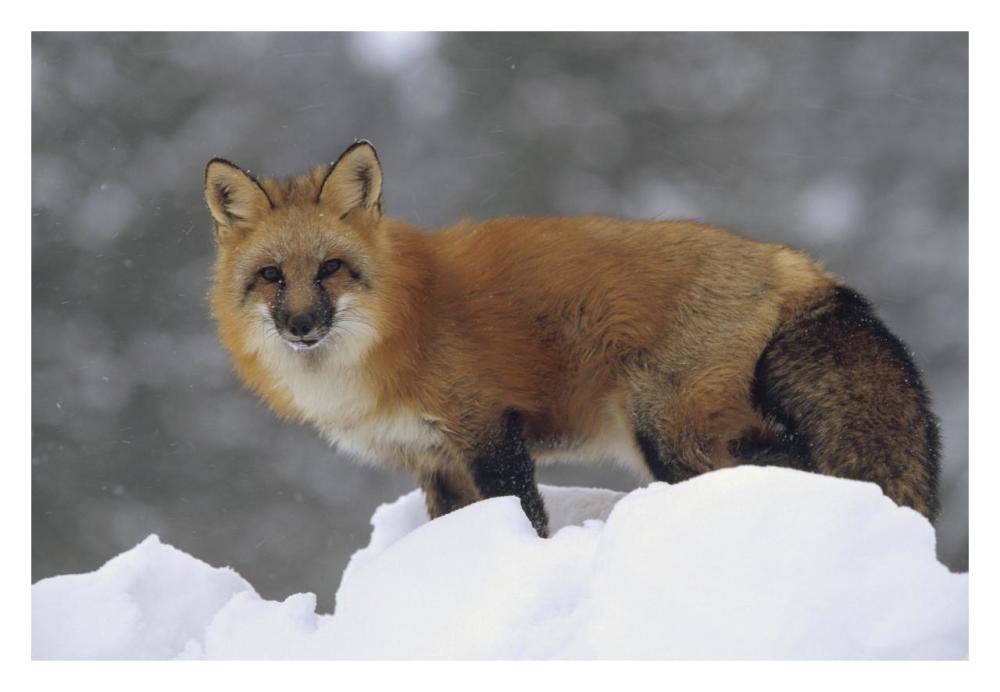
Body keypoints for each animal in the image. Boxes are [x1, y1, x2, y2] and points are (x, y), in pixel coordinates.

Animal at [204, 140, 940, 537]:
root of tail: (788, 260)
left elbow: (524, 515)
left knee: (790, 464)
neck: (396, 327)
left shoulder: (488, 430)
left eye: (331, 268)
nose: (302, 326)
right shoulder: (434, 462)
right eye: (272, 277)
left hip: (668, 435)